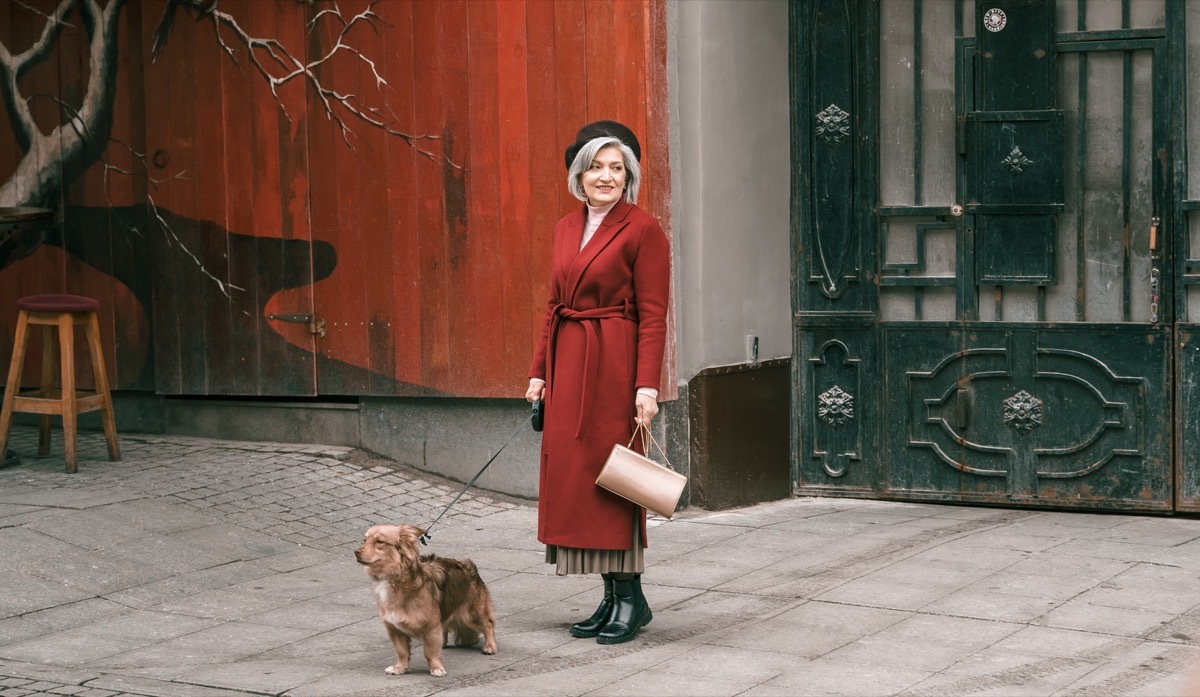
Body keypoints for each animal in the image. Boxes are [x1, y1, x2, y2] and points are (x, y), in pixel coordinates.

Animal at [350, 523, 496, 671]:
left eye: (379, 542)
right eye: (364, 540)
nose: (356, 552)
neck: (393, 578)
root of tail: (468, 568)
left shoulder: (430, 627)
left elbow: (429, 651)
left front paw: (436, 668)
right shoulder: (395, 629)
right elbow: (402, 652)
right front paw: (399, 668)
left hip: (470, 614)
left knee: (488, 624)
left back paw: (489, 646)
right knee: (445, 627)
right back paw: (443, 643)